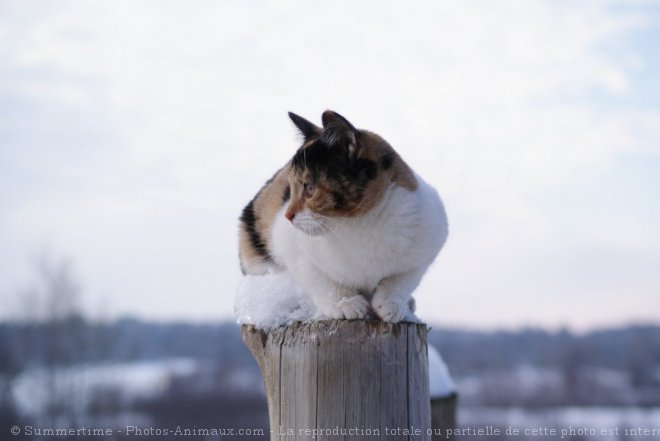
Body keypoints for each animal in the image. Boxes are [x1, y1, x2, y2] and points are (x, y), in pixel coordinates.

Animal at [238, 110, 448, 322]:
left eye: (310, 188)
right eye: (290, 189)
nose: (288, 215)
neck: (360, 225)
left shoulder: (430, 239)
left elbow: (404, 278)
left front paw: (392, 302)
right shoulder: (290, 245)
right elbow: (319, 280)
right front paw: (345, 302)